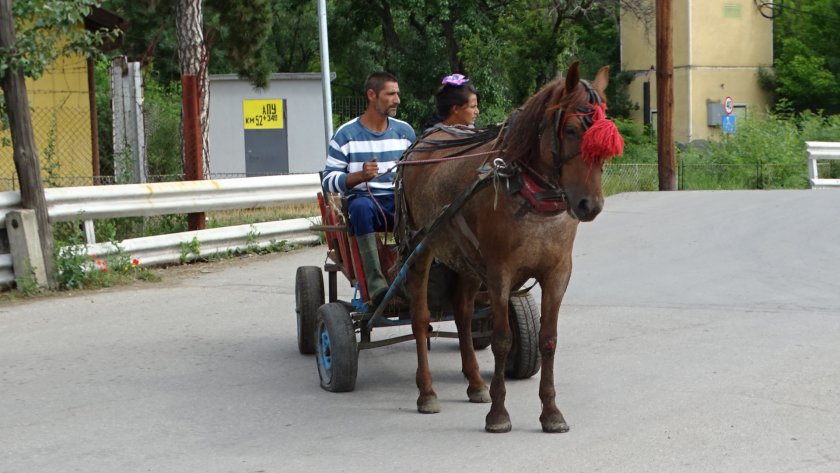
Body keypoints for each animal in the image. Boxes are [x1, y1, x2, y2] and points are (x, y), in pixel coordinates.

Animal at [396, 61, 624, 432]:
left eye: (608, 136)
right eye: (572, 129)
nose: (590, 205)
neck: (529, 194)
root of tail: (422, 142)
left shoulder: (557, 273)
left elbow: (549, 339)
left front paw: (551, 412)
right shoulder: (500, 272)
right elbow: (502, 340)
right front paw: (499, 413)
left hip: (467, 259)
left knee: (463, 313)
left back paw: (475, 383)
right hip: (422, 248)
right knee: (420, 317)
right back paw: (427, 392)